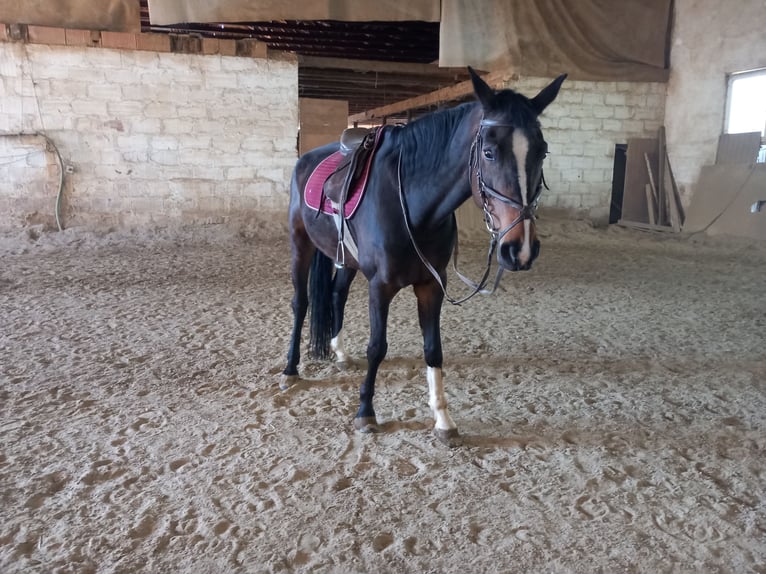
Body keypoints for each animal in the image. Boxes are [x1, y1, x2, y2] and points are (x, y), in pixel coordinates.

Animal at [282, 68, 566, 446]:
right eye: (489, 152)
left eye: (542, 152)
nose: (519, 249)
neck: (416, 207)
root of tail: (308, 159)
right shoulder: (380, 286)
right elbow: (377, 347)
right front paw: (365, 412)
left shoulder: (432, 284)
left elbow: (433, 349)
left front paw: (443, 419)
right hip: (301, 244)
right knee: (301, 303)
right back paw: (290, 369)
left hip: (347, 261)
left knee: (337, 294)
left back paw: (339, 352)